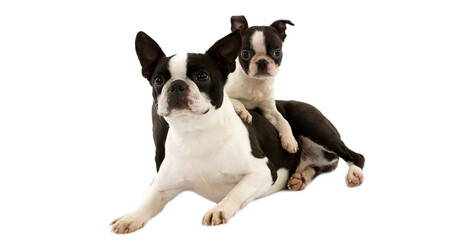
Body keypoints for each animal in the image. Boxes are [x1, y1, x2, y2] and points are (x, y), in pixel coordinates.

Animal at [110, 29, 366, 233]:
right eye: (158, 80)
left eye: (202, 76)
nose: (176, 85)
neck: (196, 132)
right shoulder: (161, 185)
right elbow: (147, 201)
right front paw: (130, 217)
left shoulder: (262, 172)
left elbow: (236, 192)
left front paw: (220, 208)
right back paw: (301, 177)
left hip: (311, 124)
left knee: (354, 155)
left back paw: (353, 173)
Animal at [225, 15, 300, 153]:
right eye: (245, 54)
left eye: (277, 52)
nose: (262, 61)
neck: (256, 82)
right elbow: (236, 100)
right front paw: (243, 112)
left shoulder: (270, 109)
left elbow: (283, 120)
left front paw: (290, 139)